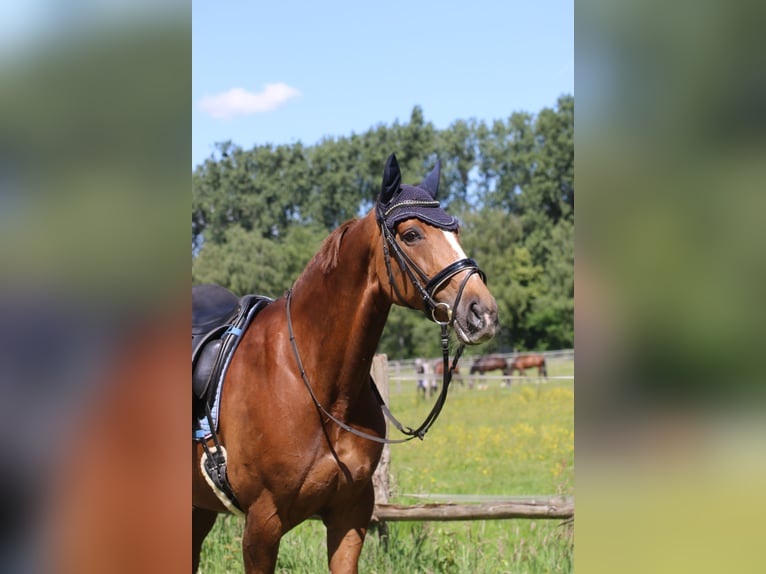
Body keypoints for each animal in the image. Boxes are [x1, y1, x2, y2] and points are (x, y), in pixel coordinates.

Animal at [195, 154, 500, 574]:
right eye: (411, 235)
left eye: (456, 230)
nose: (482, 312)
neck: (312, 382)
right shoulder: (261, 526)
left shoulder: (350, 515)